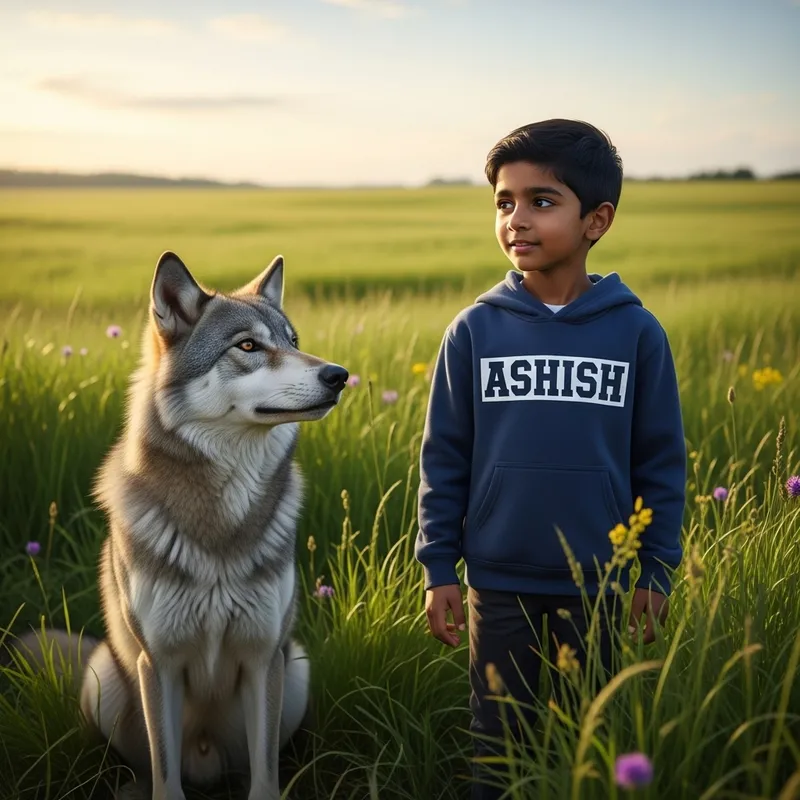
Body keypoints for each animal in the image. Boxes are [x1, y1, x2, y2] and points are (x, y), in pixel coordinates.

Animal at [8, 252, 348, 800]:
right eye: (248, 346)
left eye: (294, 341)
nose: (340, 375)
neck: (220, 520)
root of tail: (206, 762)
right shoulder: (159, 664)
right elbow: (165, 777)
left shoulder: (263, 660)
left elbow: (264, 778)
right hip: (107, 675)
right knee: (143, 770)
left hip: (293, 666)